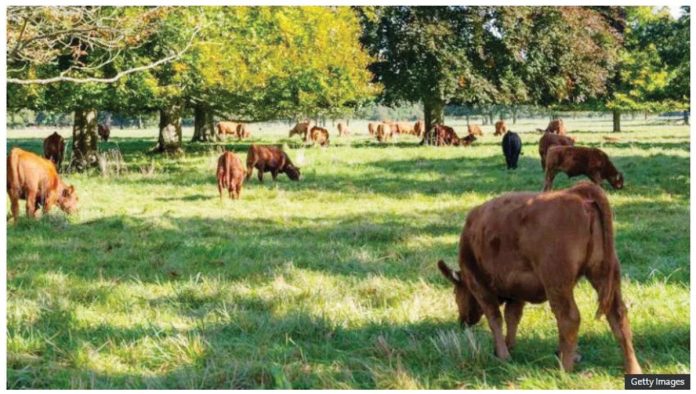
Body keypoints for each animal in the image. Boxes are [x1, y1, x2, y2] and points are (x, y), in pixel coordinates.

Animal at [438, 180, 644, 374]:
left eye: (455, 294)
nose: (463, 322)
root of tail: (577, 193)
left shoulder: (479, 285)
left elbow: (495, 318)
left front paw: (503, 355)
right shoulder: (516, 290)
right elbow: (513, 317)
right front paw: (510, 346)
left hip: (558, 283)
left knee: (569, 318)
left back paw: (565, 368)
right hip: (604, 275)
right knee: (617, 315)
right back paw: (632, 368)